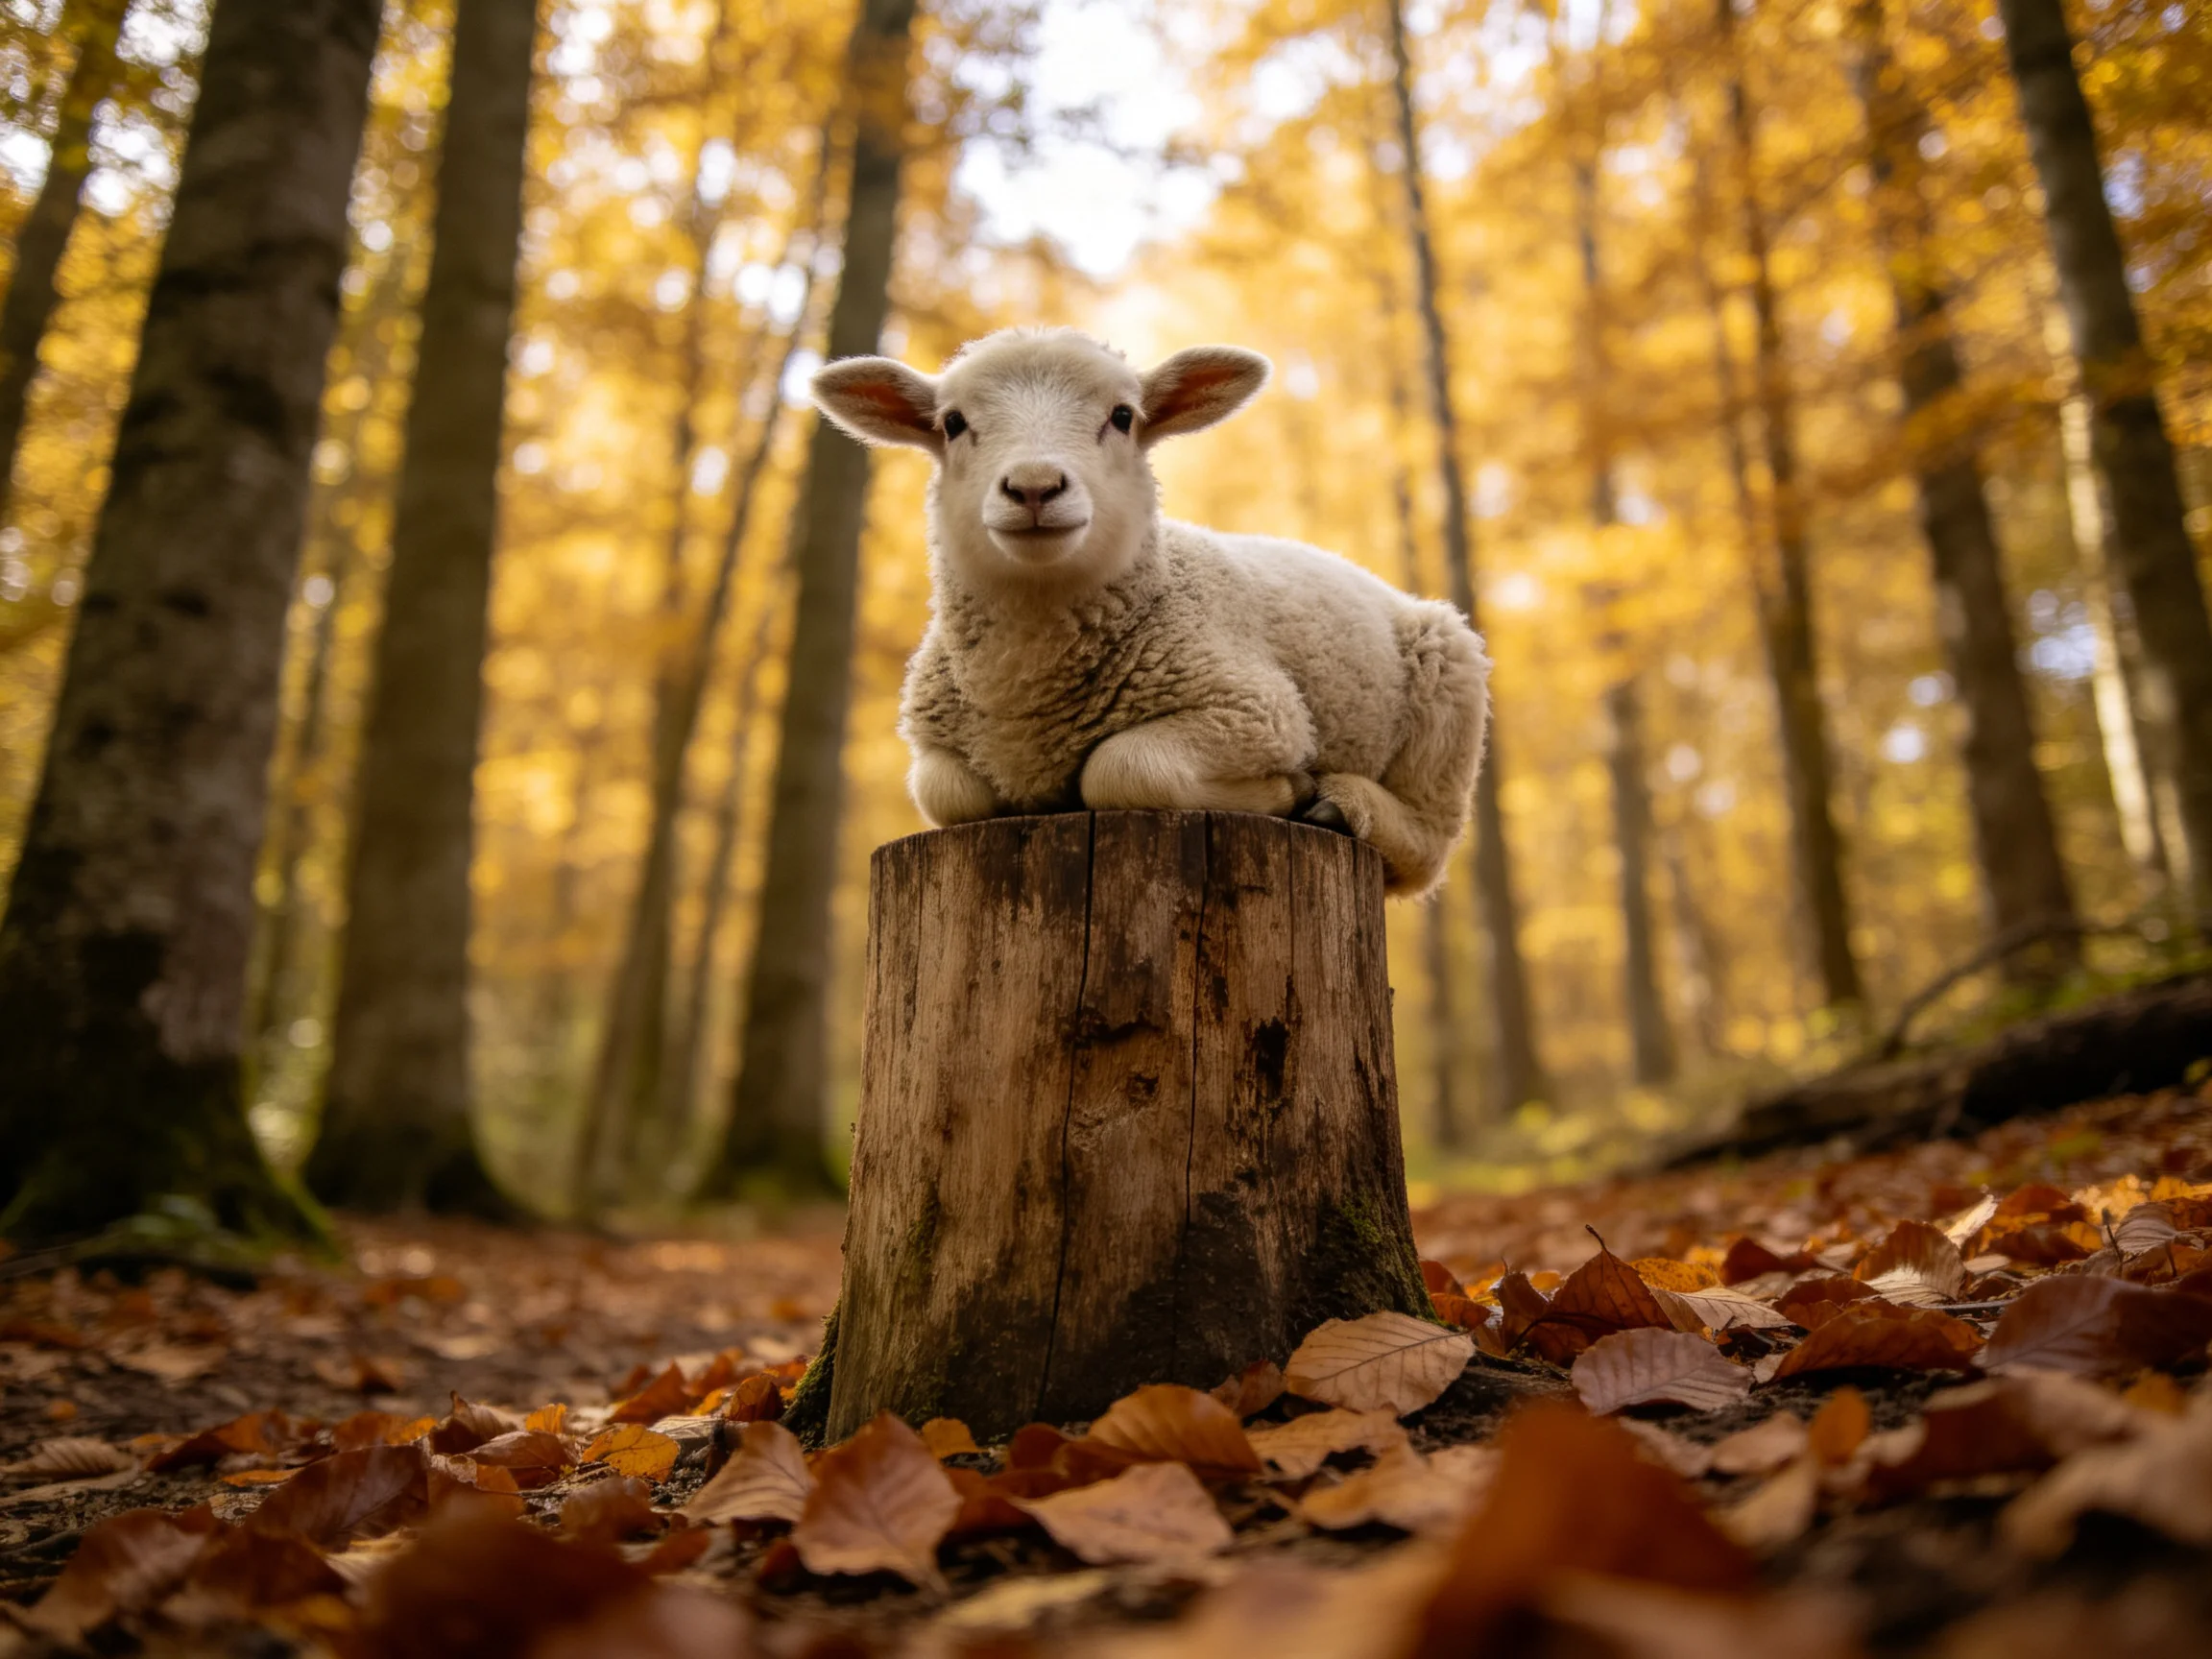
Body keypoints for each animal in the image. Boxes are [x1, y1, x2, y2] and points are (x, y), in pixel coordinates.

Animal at [810, 326, 1490, 898]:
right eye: (952, 423)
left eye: (1121, 418)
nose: (1034, 486)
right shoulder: (936, 744)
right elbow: (946, 792)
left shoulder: (1258, 711)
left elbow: (1120, 769)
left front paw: (1287, 790)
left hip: (1450, 686)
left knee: (1427, 843)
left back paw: (1342, 806)